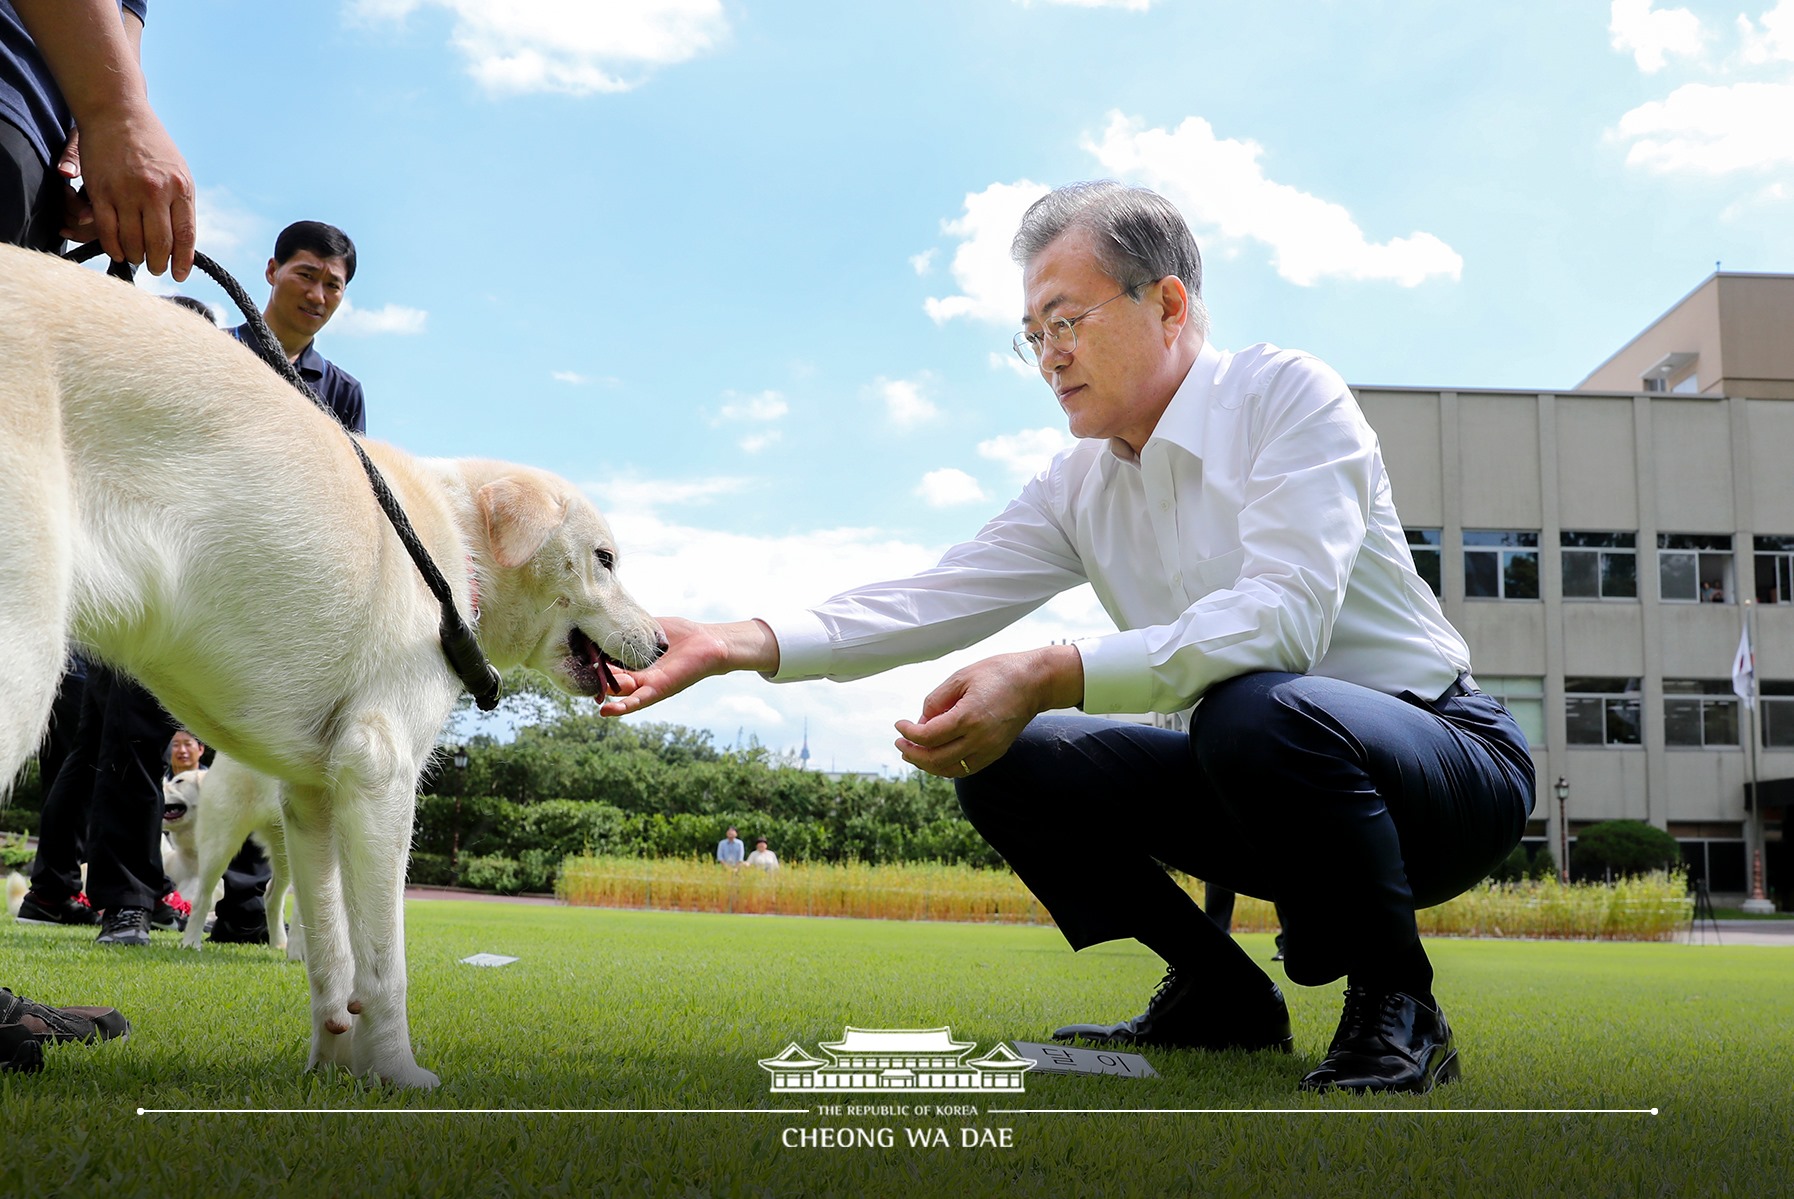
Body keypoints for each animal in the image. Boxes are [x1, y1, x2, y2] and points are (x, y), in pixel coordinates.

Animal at [0, 247, 667, 1091]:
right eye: (606, 558)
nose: (665, 643)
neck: (453, 548)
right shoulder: (379, 776)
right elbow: (383, 965)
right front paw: (399, 1073)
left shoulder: (314, 797)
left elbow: (331, 954)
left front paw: (331, 1063)